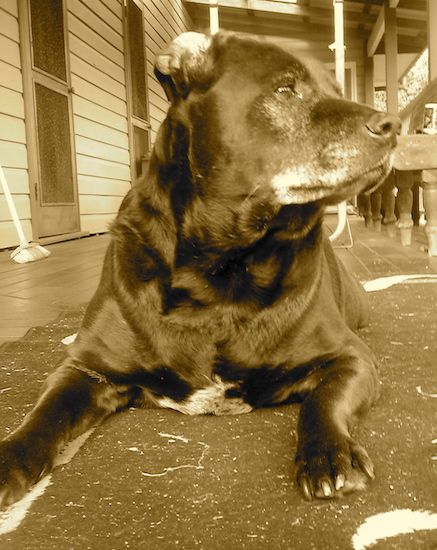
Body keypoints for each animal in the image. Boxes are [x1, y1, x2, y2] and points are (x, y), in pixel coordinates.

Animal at [0, 32, 398, 506]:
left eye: (339, 90)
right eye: (286, 89)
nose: (392, 126)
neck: (221, 270)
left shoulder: (352, 358)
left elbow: (325, 400)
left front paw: (328, 453)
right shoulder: (85, 368)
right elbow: (46, 415)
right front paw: (9, 456)